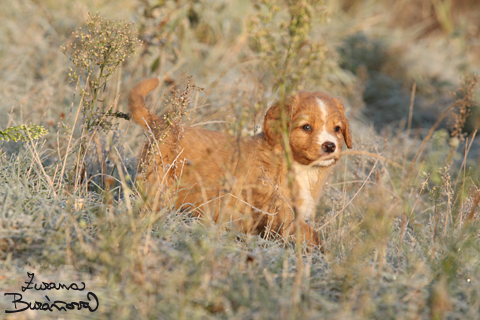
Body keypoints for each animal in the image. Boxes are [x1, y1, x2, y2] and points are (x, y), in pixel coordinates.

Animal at [128, 78, 352, 250]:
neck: (297, 166)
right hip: (158, 183)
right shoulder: (281, 214)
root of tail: (162, 123)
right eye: (306, 127)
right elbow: (312, 235)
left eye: (337, 129)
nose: (330, 146)